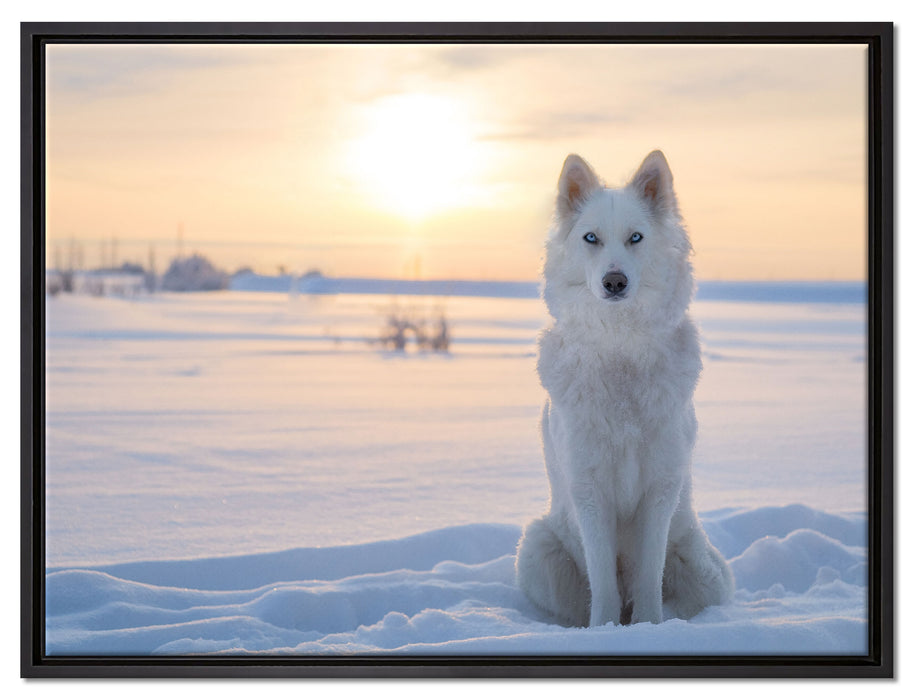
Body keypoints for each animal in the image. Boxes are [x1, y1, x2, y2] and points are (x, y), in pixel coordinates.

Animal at [515, 151, 734, 627]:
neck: (621, 352)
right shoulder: (589, 490)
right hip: (537, 549)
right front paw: (606, 630)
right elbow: (603, 583)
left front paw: (649, 627)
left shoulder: (660, 489)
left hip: (704, 570)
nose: (614, 282)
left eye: (636, 237)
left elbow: (650, 575)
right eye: (591, 238)